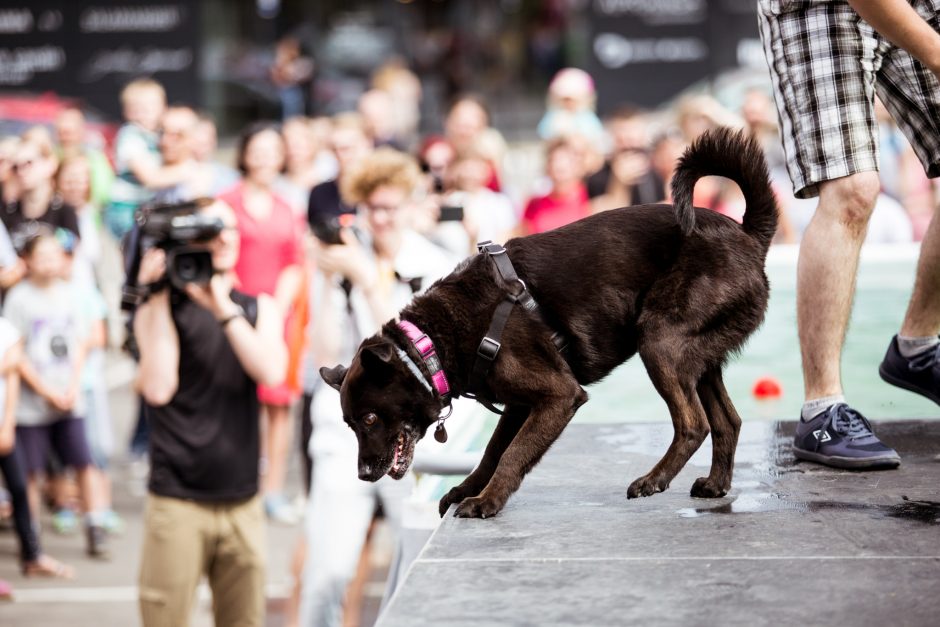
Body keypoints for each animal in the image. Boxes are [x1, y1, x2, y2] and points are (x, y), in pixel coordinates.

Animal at [320, 129, 776, 520]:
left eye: (370, 419)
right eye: (349, 424)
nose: (364, 474)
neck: (431, 343)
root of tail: (748, 235)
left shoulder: (559, 396)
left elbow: (512, 454)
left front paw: (486, 502)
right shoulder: (520, 405)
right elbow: (491, 452)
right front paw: (467, 490)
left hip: (659, 341)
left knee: (694, 424)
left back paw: (653, 480)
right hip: (696, 356)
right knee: (728, 421)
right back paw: (715, 484)